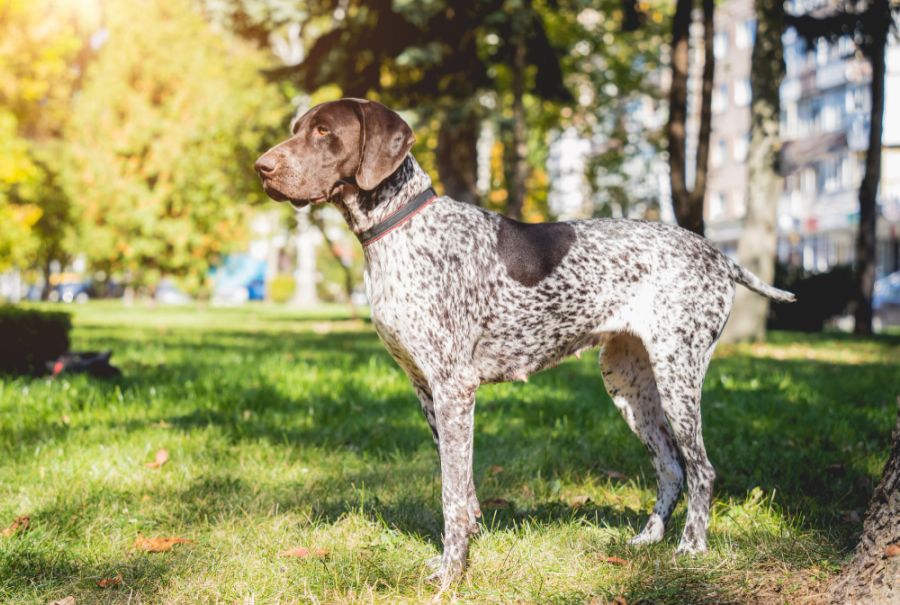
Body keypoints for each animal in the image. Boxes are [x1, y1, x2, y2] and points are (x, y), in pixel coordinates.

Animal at [255, 98, 796, 584]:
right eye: (297, 128)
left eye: (324, 132)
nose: (261, 167)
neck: (401, 230)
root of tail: (717, 254)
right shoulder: (427, 391)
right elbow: (462, 488)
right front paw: (461, 552)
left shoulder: (453, 389)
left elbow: (451, 495)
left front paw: (452, 574)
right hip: (628, 382)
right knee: (669, 467)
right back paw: (648, 540)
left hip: (677, 373)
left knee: (701, 469)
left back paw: (691, 548)